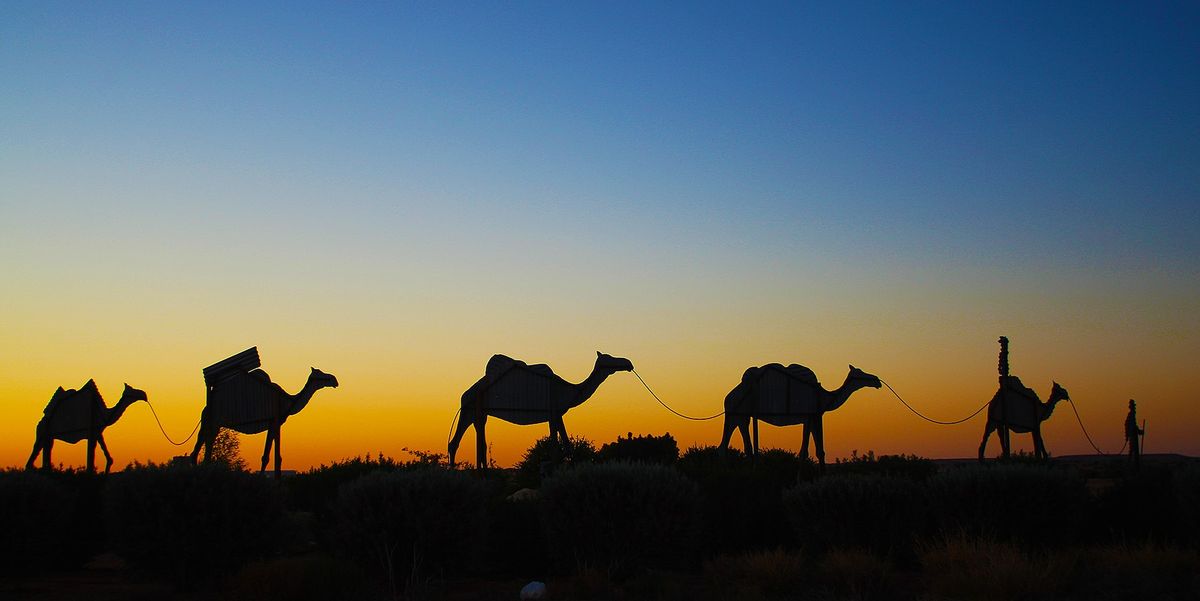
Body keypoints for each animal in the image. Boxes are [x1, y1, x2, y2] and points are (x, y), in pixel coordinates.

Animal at [190, 364, 338, 477]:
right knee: (206, 443)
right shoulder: (274, 423)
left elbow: (270, 455)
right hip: (214, 421)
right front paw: (263, 478)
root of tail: (206, 407)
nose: (334, 379)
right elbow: (268, 456)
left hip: (210, 422)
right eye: (320, 373)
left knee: (201, 442)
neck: (288, 402)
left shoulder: (273, 424)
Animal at [451, 350, 638, 467]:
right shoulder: (552, 412)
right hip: (469, 409)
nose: (628, 363)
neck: (570, 391)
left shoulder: (557, 414)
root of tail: (464, 395)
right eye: (609, 357)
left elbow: (567, 445)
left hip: (479, 414)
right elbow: (556, 446)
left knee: (478, 442)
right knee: (455, 443)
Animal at [715, 362, 888, 465]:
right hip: (736, 412)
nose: (876, 380)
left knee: (738, 443)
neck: (825, 397)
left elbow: (811, 452)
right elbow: (813, 451)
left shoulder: (809, 418)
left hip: (741, 416)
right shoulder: (813, 415)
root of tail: (727, 398)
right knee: (726, 445)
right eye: (860, 372)